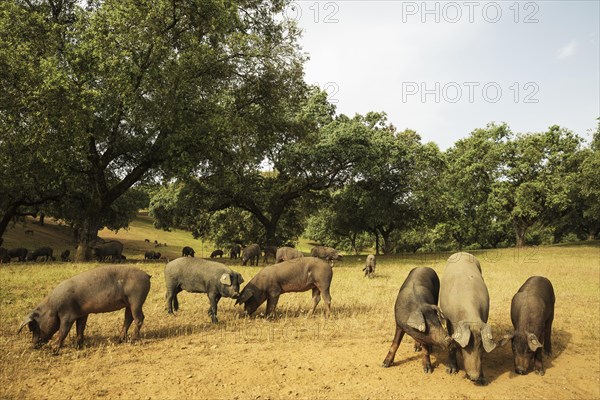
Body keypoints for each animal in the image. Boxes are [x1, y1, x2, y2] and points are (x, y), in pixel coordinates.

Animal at [18, 266, 151, 354]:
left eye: (33, 327)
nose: (33, 345)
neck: (52, 307)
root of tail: (147, 275)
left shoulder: (67, 315)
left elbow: (63, 330)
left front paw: (53, 349)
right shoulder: (82, 314)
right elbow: (80, 328)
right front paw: (78, 346)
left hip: (136, 299)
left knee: (139, 318)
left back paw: (133, 340)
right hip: (129, 303)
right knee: (128, 318)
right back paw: (119, 340)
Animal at [436, 253, 496, 384]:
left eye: (481, 346)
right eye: (466, 346)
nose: (474, 377)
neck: (471, 316)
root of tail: (461, 252)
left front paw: (483, 379)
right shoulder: (449, 321)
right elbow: (452, 343)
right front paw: (451, 371)